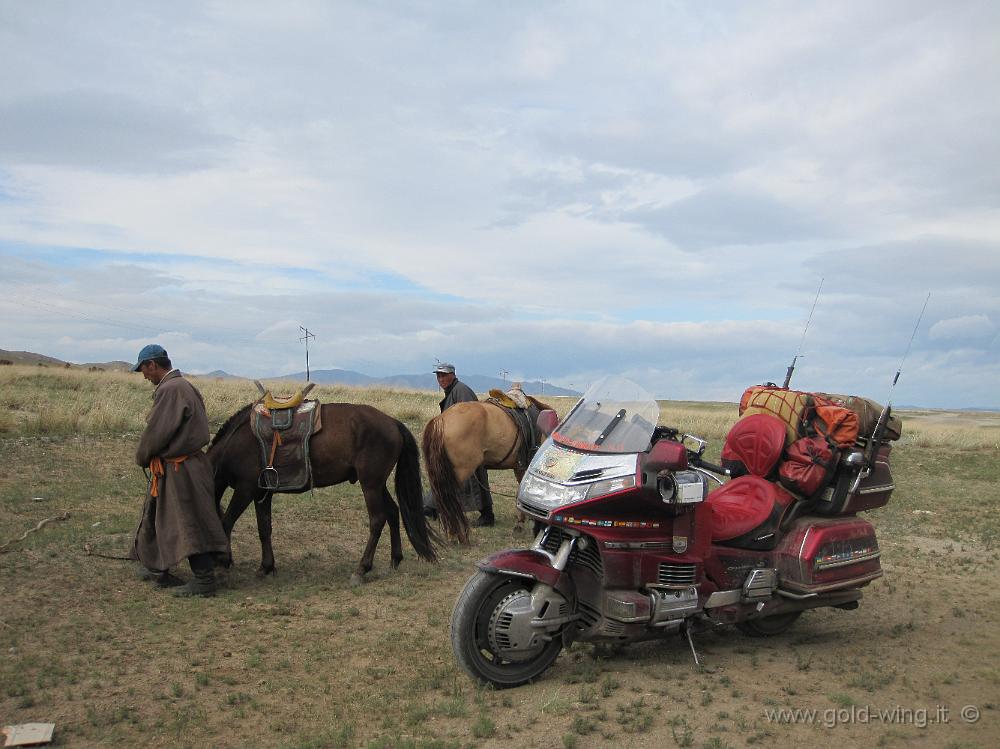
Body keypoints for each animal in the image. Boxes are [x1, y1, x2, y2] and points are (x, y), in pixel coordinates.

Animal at [210, 404, 460, 584]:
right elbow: (264, 529)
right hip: (377, 484)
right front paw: (266, 567)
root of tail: (392, 422)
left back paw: (361, 569)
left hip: (370, 484)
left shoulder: (245, 489)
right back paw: (395, 559)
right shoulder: (262, 492)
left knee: (377, 519)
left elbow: (226, 523)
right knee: (392, 511)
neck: (235, 442)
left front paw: (223, 562)